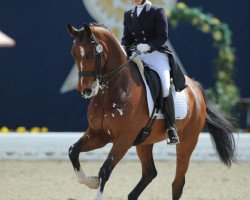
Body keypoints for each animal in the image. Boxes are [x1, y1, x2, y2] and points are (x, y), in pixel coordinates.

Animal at [65, 23, 235, 200]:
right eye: (74, 54)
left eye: (90, 54)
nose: (85, 90)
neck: (112, 90)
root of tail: (196, 88)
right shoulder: (98, 135)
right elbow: (73, 151)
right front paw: (91, 181)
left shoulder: (123, 140)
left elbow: (105, 170)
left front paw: (95, 182)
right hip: (145, 142)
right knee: (150, 173)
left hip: (187, 143)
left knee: (177, 183)